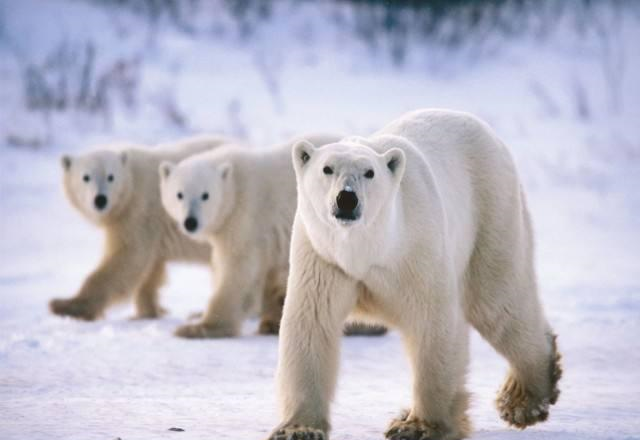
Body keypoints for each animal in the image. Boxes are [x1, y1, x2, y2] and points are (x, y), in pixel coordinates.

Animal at [49, 135, 234, 321]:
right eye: (86, 177)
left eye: (111, 176)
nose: (100, 199)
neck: (132, 180)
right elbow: (151, 269)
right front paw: (147, 311)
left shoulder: (139, 211)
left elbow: (128, 257)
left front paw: (65, 305)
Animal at [159, 134, 343, 338]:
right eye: (179, 194)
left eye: (205, 195)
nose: (190, 222)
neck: (233, 184)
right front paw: (271, 321)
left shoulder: (246, 216)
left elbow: (238, 269)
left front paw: (198, 327)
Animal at [268, 109, 562, 440]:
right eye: (326, 168)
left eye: (369, 173)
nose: (347, 199)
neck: (368, 250)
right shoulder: (323, 257)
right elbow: (311, 326)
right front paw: (298, 428)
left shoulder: (416, 249)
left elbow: (432, 323)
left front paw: (418, 427)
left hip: (491, 211)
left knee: (497, 302)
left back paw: (523, 398)